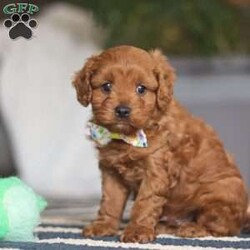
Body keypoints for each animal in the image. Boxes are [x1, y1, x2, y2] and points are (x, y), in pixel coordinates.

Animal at [72, 45, 248, 242]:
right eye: (106, 86)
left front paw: (137, 230)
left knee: (224, 228)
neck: (128, 137)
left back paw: (193, 229)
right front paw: (104, 226)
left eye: (141, 89)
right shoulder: (111, 171)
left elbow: (145, 202)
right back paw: (164, 226)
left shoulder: (156, 171)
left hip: (220, 194)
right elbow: (111, 201)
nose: (123, 110)